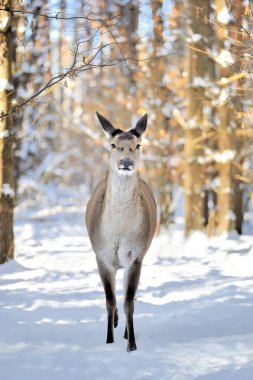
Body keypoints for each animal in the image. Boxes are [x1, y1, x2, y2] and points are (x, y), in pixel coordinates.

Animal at [85, 111, 156, 352]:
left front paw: (131, 344)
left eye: (138, 145)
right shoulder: (101, 256)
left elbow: (128, 301)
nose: (126, 162)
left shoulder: (136, 256)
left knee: (128, 296)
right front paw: (108, 340)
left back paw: (124, 331)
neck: (117, 234)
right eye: (113, 144)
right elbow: (109, 301)